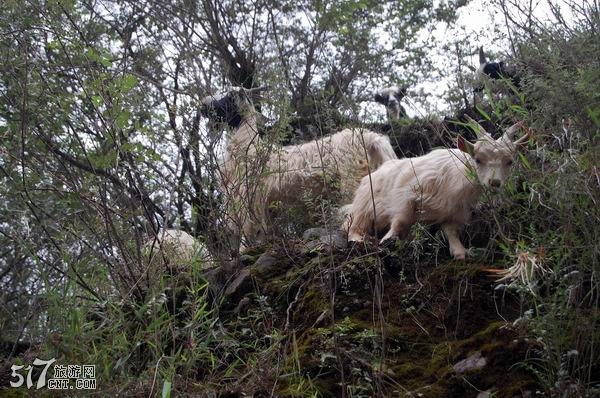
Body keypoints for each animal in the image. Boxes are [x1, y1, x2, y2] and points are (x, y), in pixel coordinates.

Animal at [202, 88, 398, 246]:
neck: (248, 148)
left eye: (229, 96)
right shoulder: (267, 205)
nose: (204, 105)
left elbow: (248, 231)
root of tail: (372, 138)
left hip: (352, 180)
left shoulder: (249, 198)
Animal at [342, 118, 528, 260]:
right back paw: (359, 240)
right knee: (353, 226)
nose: (494, 182)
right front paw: (388, 239)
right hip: (365, 206)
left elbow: (451, 231)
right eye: (478, 159)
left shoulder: (453, 213)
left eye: (510, 161)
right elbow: (400, 220)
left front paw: (460, 252)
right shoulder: (407, 195)